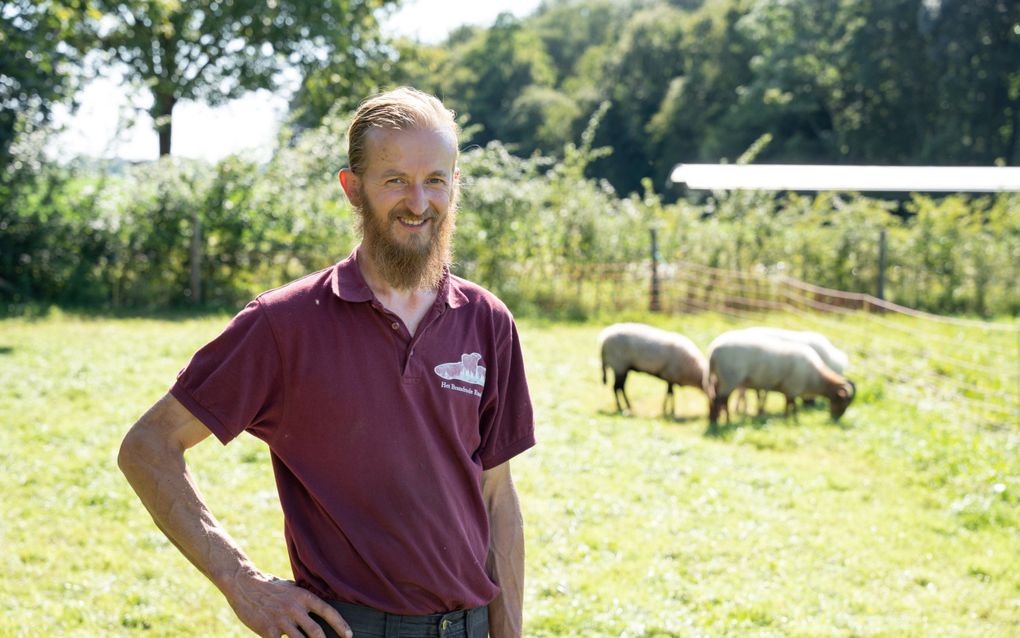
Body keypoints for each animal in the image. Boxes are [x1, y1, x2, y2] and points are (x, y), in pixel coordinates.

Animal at [705, 328, 856, 428]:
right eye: (843, 402)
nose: (835, 419)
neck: (815, 376)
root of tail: (713, 351)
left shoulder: (789, 389)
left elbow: (788, 405)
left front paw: (787, 419)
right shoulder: (793, 387)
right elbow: (793, 405)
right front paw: (793, 420)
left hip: (720, 379)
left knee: (716, 399)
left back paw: (715, 420)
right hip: (729, 379)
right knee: (721, 400)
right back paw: (724, 422)